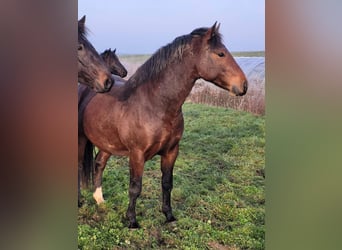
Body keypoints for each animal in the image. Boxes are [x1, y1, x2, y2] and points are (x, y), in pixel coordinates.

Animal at [79, 23, 247, 229]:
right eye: (220, 53)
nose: (243, 85)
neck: (155, 104)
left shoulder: (171, 151)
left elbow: (167, 183)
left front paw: (168, 215)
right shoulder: (137, 154)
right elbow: (135, 187)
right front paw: (132, 220)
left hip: (107, 142)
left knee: (99, 163)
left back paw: (99, 199)